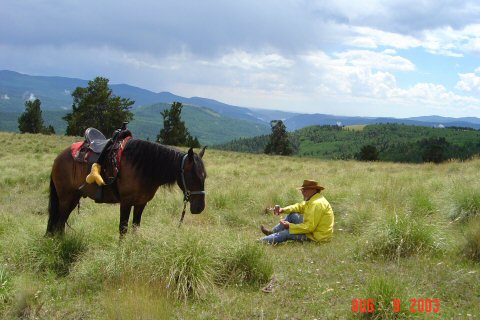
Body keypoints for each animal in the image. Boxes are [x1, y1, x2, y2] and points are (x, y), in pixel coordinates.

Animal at [45, 139, 208, 236]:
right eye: (192, 177)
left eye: (204, 176)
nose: (199, 208)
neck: (142, 168)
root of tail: (58, 158)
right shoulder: (126, 202)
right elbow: (123, 229)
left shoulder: (141, 203)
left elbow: (136, 227)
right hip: (65, 197)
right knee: (59, 222)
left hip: (74, 197)